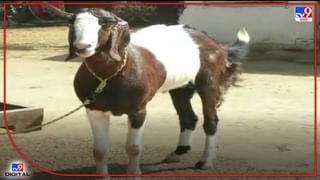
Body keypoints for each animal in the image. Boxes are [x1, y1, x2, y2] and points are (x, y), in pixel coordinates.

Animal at [47, 6, 250, 179]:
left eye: (104, 24)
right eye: (72, 23)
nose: (82, 47)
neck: (110, 75)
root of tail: (217, 45)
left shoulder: (138, 110)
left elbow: (134, 147)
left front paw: (134, 175)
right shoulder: (95, 110)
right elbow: (99, 150)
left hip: (208, 84)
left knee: (211, 121)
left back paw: (205, 161)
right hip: (181, 87)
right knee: (188, 117)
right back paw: (176, 153)